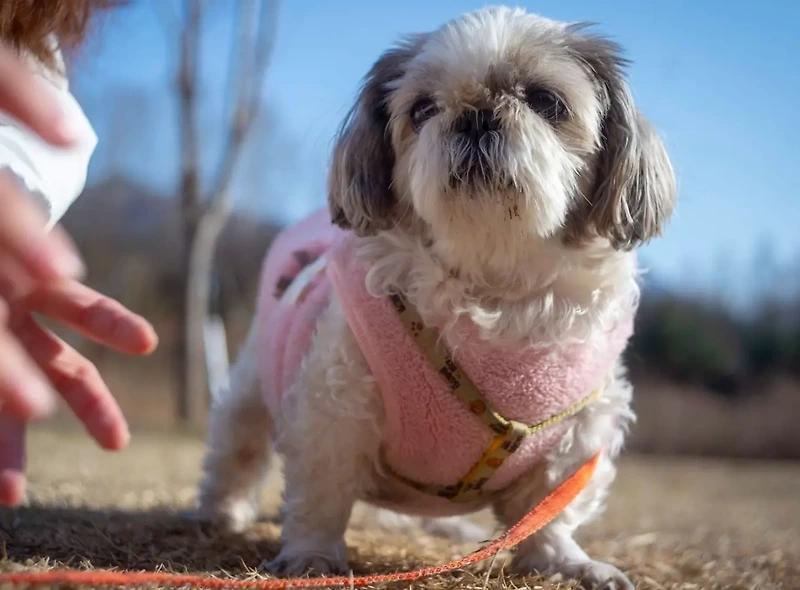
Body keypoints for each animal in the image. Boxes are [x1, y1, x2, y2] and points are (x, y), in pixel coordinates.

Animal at [195, 5, 676, 590]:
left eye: (545, 101)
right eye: (422, 109)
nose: (475, 114)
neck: (493, 283)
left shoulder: (579, 433)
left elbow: (550, 510)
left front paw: (564, 561)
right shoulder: (336, 406)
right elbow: (322, 490)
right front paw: (311, 556)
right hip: (249, 391)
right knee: (237, 450)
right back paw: (222, 513)